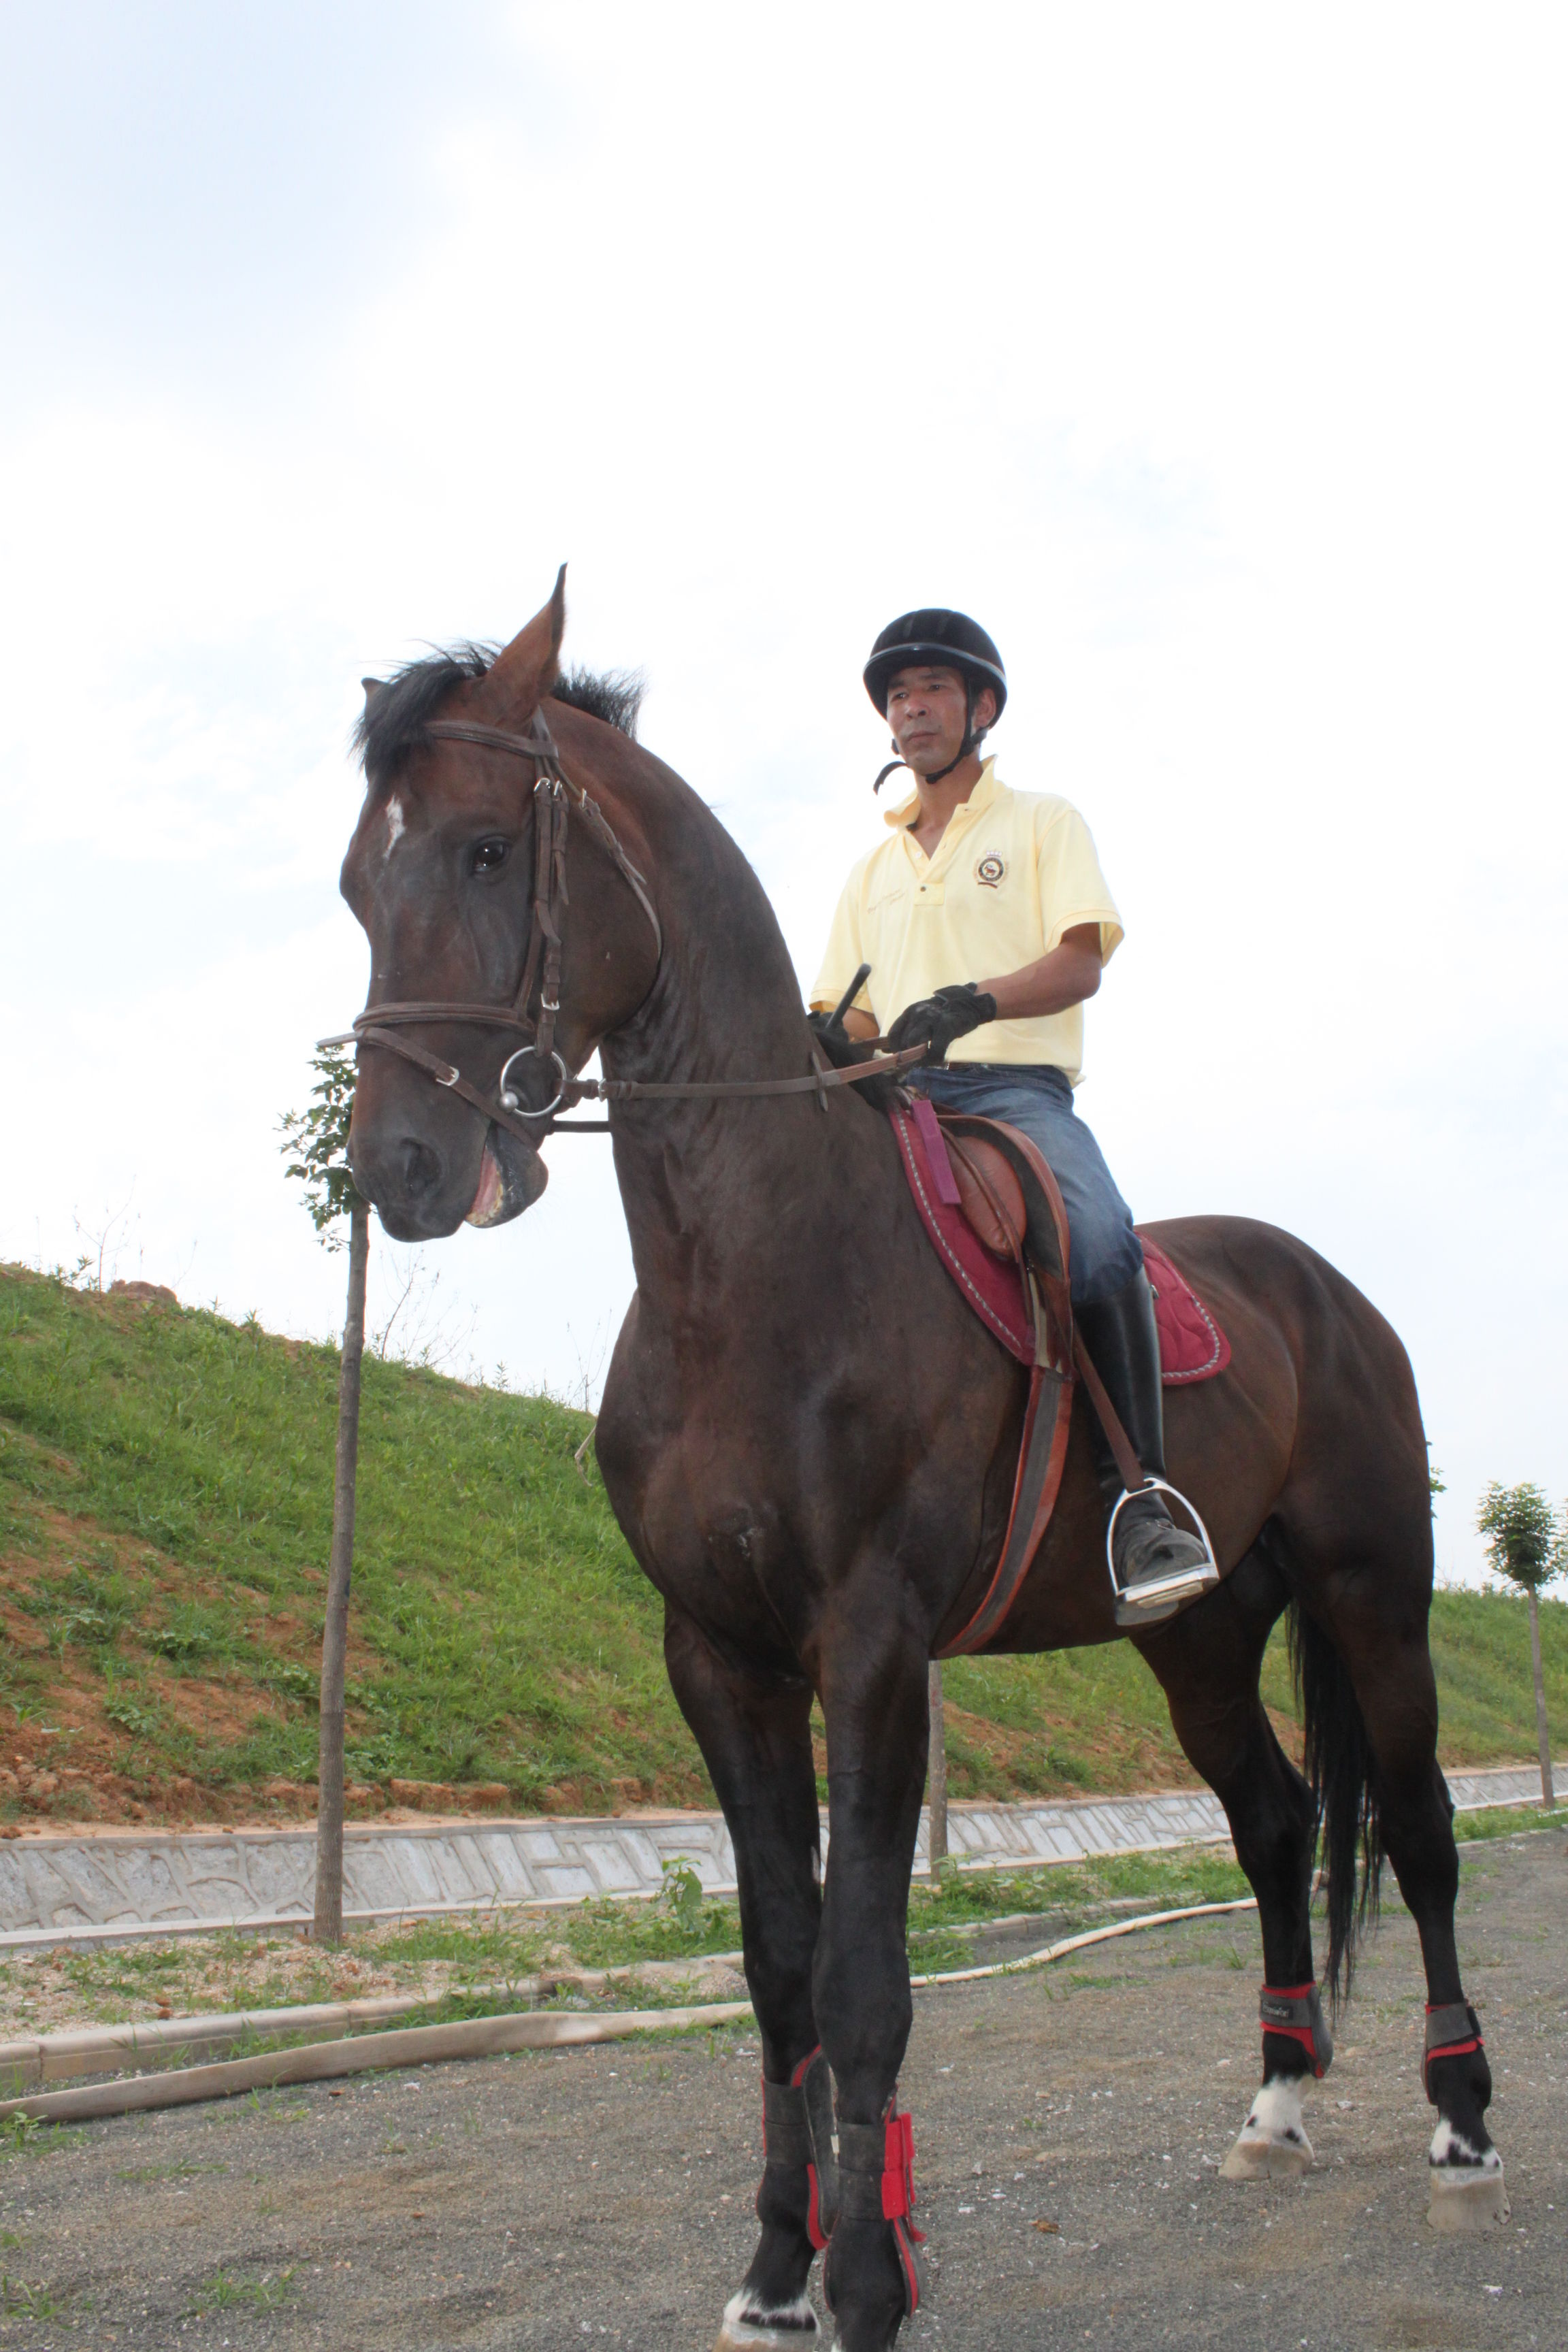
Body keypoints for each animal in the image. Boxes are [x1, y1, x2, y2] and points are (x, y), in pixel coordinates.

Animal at [340, 583, 1504, 2352]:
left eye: (482, 850)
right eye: (359, 880)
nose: (398, 1170)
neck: (749, 1268)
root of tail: (1328, 1287)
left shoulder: (873, 1646)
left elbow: (863, 1975)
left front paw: (874, 2274)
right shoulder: (721, 1656)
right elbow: (776, 1965)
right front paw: (777, 2266)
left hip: (1376, 1593)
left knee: (1423, 1831)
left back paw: (1458, 2113)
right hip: (1199, 1632)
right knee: (1275, 1821)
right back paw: (1277, 2099)